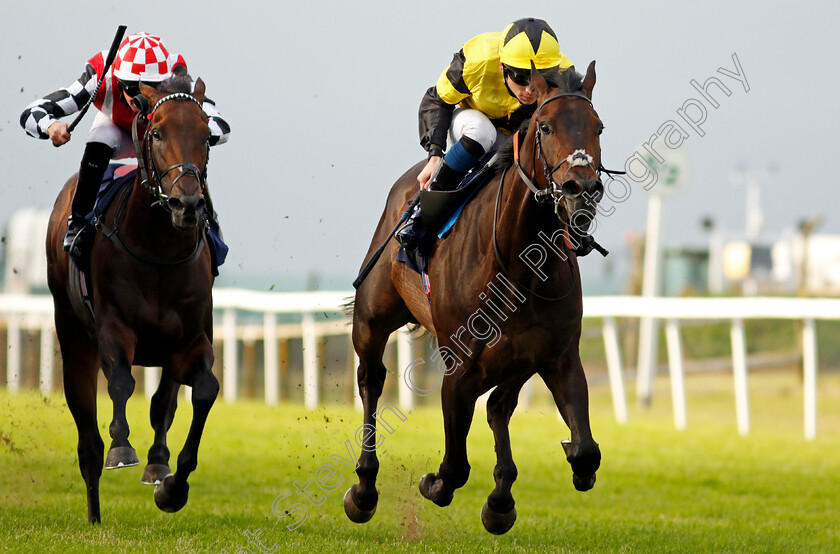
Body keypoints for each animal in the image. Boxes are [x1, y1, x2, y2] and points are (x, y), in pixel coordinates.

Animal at [45, 76, 218, 520]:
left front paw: (172, 486)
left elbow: (202, 392)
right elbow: (121, 382)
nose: (187, 204)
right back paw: (94, 514)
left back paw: (157, 464)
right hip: (73, 334)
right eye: (156, 133)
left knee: (164, 404)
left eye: (207, 135)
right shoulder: (114, 327)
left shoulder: (190, 340)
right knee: (86, 436)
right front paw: (121, 447)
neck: (158, 249)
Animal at [344, 60, 608, 532]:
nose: (581, 190)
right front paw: (431, 483)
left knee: (500, 406)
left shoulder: (557, 355)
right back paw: (364, 488)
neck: (518, 263)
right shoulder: (460, 366)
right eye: (545, 126)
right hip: (372, 319)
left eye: (598, 126)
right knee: (371, 380)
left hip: (519, 356)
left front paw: (513, 493)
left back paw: (501, 499)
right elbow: (454, 467)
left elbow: (585, 451)